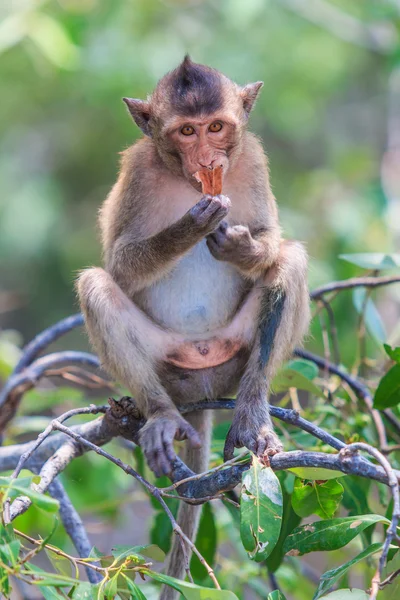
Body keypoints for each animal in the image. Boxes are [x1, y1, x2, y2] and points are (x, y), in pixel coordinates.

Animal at [76, 55, 310, 596]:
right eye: (186, 131)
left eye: (216, 128)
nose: (206, 159)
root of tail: (202, 382)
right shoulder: (137, 171)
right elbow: (119, 266)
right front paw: (190, 226)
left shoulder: (253, 159)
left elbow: (272, 239)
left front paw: (241, 246)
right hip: (169, 364)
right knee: (97, 284)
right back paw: (161, 416)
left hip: (232, 357)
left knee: (290, 260)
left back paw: (251, 413)